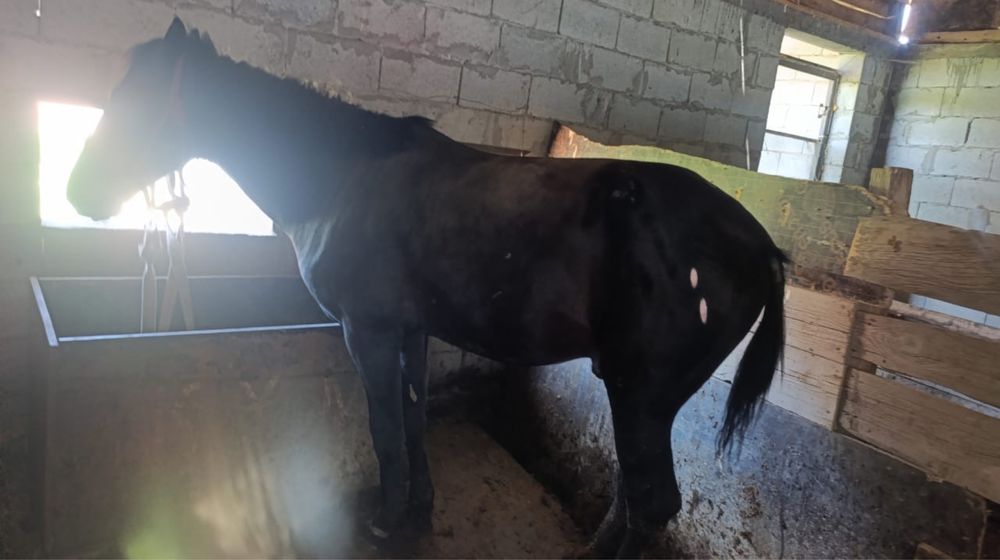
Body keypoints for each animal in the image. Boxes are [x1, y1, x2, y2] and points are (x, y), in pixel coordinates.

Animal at [67, 17, 786, 558]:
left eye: (138, 101)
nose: (78, 194)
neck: (342, 179)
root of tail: (761, 246)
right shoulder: (412, 331)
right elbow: (414, 423)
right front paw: (417, 513)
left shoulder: (368, 332)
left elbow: (385, 428)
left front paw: (386, 524)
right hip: (639, 398)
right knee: (635, 496)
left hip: (640, 394)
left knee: (653, 502)